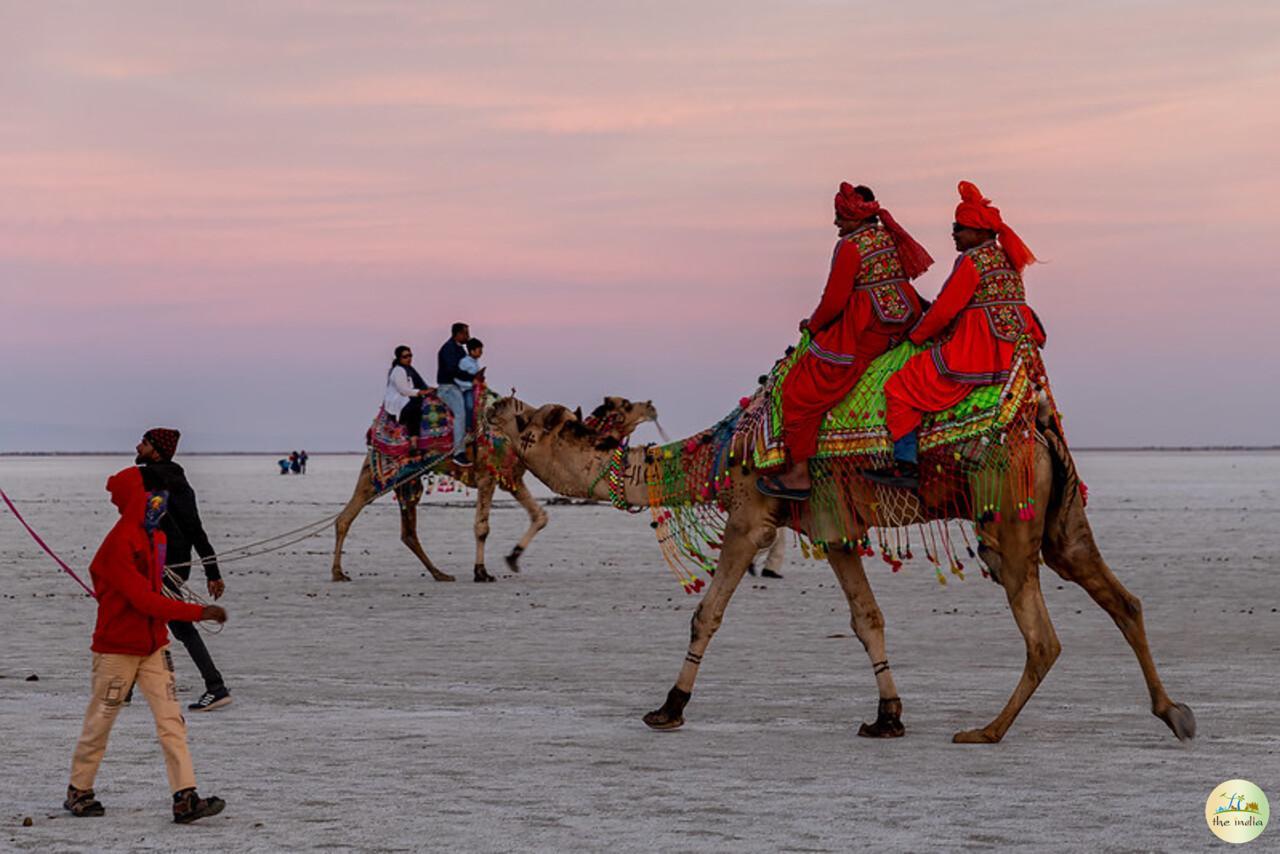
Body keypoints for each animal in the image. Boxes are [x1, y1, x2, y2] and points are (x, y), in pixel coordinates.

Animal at [330, 386, 660, 581]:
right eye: (626, 405)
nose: (651, 406)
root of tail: (377, 424)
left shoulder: (512, 477)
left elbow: (540, 516)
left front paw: (513, 558)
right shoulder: (488, 474)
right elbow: (482, 527)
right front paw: (481, 571)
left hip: (406, 478)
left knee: (405, 531)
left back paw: (439, 573)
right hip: (380, 471)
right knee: (347, 516)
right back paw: (338, 572)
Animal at [488, 338, 1198, 742]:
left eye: (537, 422)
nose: (495, 405)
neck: (723, 452)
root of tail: (1040, 423)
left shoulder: (753, 514)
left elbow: (706, 613)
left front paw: (668, 708)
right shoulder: (833, 529)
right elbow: (867, 619)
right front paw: (888, 717)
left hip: (1009, 519)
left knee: (1044, 637)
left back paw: (986, 731)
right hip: (1057, 518)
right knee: (1122, 598)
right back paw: (1173, 713)